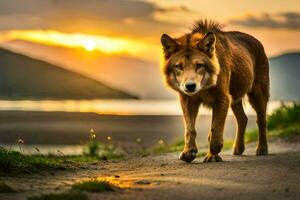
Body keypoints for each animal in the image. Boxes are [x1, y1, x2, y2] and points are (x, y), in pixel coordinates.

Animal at [162, 19, 270, 162]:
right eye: (179, 66)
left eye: (199, 65)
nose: (190, 86)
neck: (203, 87)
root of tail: (258, 42)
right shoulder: (188, 99)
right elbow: (190, 128)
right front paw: (189, 152)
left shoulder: (222, 98)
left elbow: (215, 129)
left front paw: (214, 151)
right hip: (235, 99)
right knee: (243, 119)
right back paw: (238, 149)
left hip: (257, 95)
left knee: (261, 121)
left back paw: (262, 149)